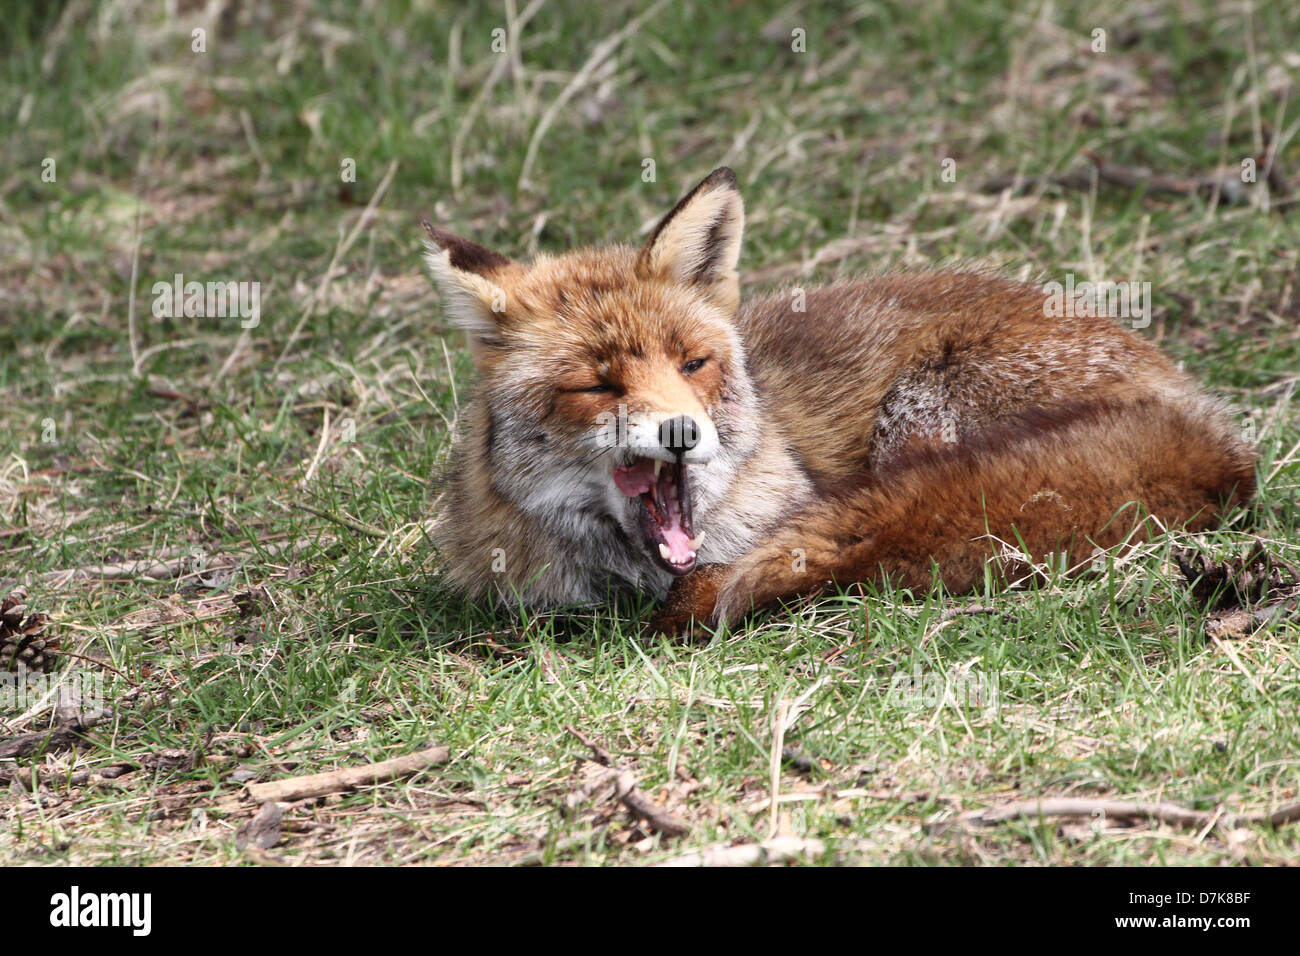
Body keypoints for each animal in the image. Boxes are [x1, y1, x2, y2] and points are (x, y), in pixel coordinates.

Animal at [426, 169, 1258, 639]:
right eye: (598, 385)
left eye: (693, 364)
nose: (682, 432)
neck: (627, 577)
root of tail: (1215, 432)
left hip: (919, 407)